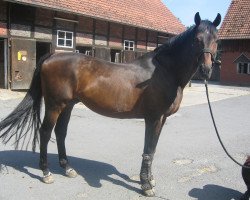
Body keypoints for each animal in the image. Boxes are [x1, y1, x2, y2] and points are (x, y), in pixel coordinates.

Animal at [0, 12, 221, 197]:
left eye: (216, 40)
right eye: (196, 39)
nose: (206, 70)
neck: (164, 71)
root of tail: (52, 55)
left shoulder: (162, 119)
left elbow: (152, 150)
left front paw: (150, 180)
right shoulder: (153, 118)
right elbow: (148, 150)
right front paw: (146, 185)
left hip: (68, 105)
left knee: (60, 132)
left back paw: (68, 168)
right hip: (55, 105)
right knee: (45, 132)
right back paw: (46, 172)